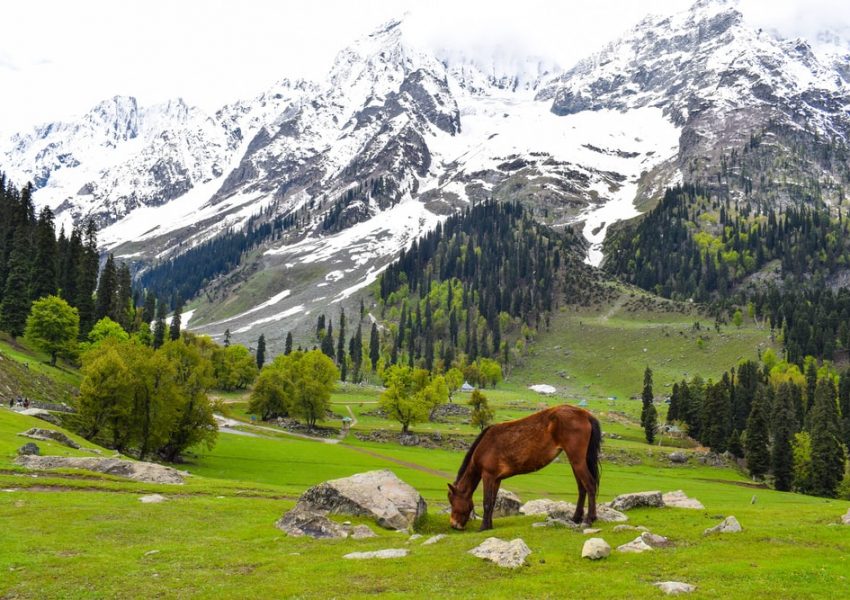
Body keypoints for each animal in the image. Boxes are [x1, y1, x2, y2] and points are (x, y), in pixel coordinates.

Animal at [448, 404, 600, 528]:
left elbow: (487, 501)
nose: (454, 524)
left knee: (590, 485)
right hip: (575, 462)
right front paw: (489, 525)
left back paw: (589, 519)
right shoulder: (496, 479)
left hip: (577, 461)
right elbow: (492, 502)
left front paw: (483, 527)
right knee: (582, 488)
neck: (485, 445)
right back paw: (576, 518)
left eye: (452, 501)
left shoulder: (488, 476)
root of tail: (586, 414)